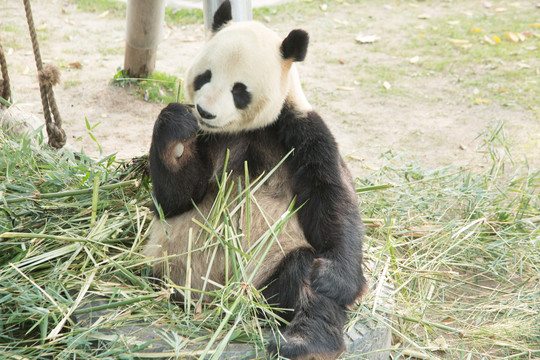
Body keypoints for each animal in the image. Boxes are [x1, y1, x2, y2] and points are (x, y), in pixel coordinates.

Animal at [141, 1, 368, 358]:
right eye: (205, 76)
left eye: (239, 90)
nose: (205, 112)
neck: (243, 129)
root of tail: (220, 298)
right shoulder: (208, 140)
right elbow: (174, 199)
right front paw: (176, 124)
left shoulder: (301, 133)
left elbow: (332, 198)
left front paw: (335, 280)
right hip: (169, 265)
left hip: (267, 268)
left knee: (302, 278)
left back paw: (305, 340)